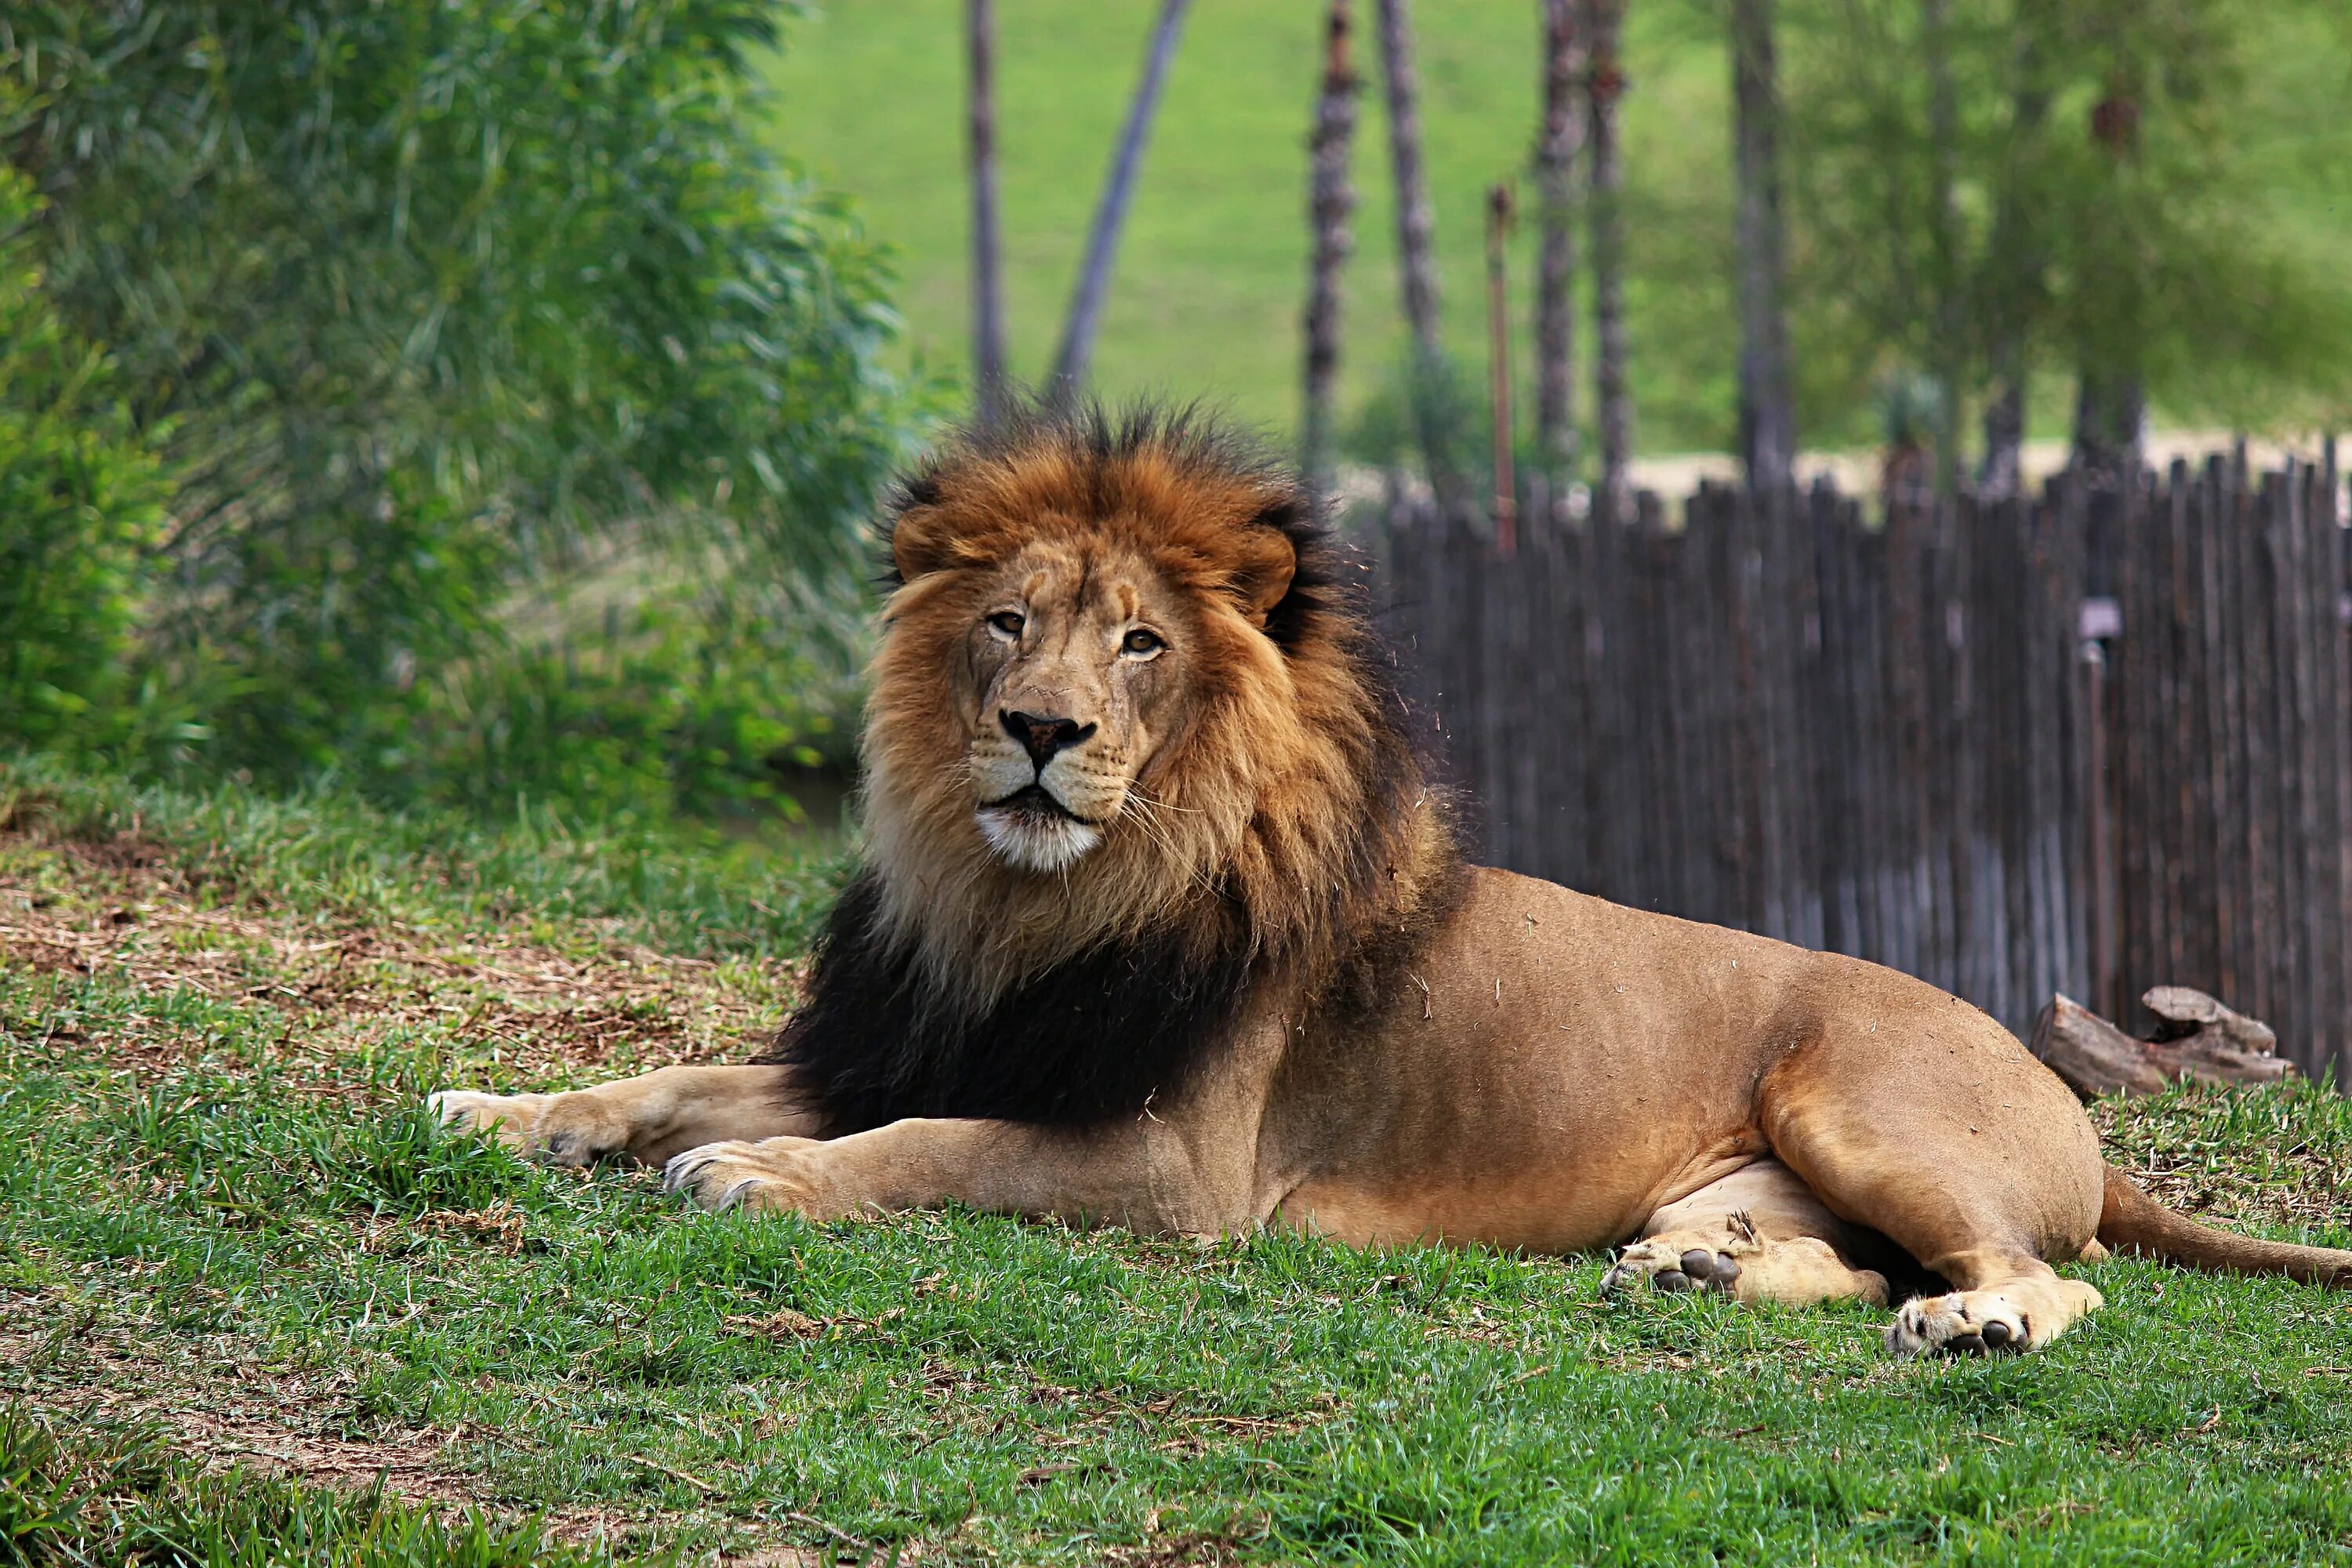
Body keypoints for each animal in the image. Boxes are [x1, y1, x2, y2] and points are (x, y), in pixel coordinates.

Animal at [428, 408, 2352, 1363]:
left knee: (2050, 1276)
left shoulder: (1167, 1165)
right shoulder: (920, 1038)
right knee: (1827, 1264)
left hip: (1866, 1111)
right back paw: (1699, 1277)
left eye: (1138, 643)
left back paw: (1977, 1321)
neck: (1028, 903)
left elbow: (917, 1151)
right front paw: (499, 1111)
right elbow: (674, 1070)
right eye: (1006, 623)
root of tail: (2060, 1089)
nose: (1043, 732)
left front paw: (759, 1175)